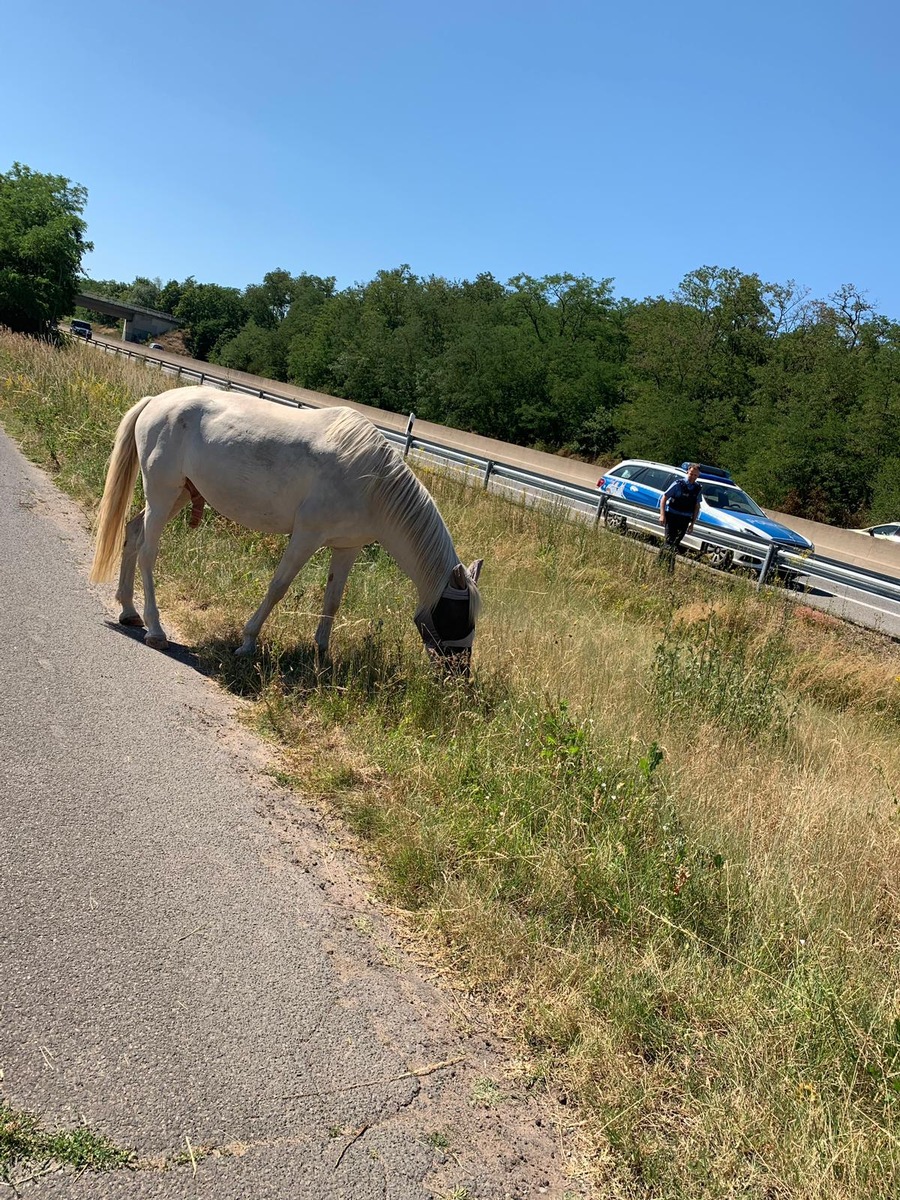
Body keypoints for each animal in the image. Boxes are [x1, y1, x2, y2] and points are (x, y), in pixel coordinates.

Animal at [90, 384, 487, 667]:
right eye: (457, 617)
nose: (458, 674)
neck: (372, 482)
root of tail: (156, 401)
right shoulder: (306, 537)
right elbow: (278, 587)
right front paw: (247, 643)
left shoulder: (347, 547)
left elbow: (333, 600)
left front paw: (322, 656)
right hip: (163, 494)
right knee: (147, 551)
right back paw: (155, 630)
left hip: (178, 497)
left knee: (132, 534)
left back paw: (128, 611)